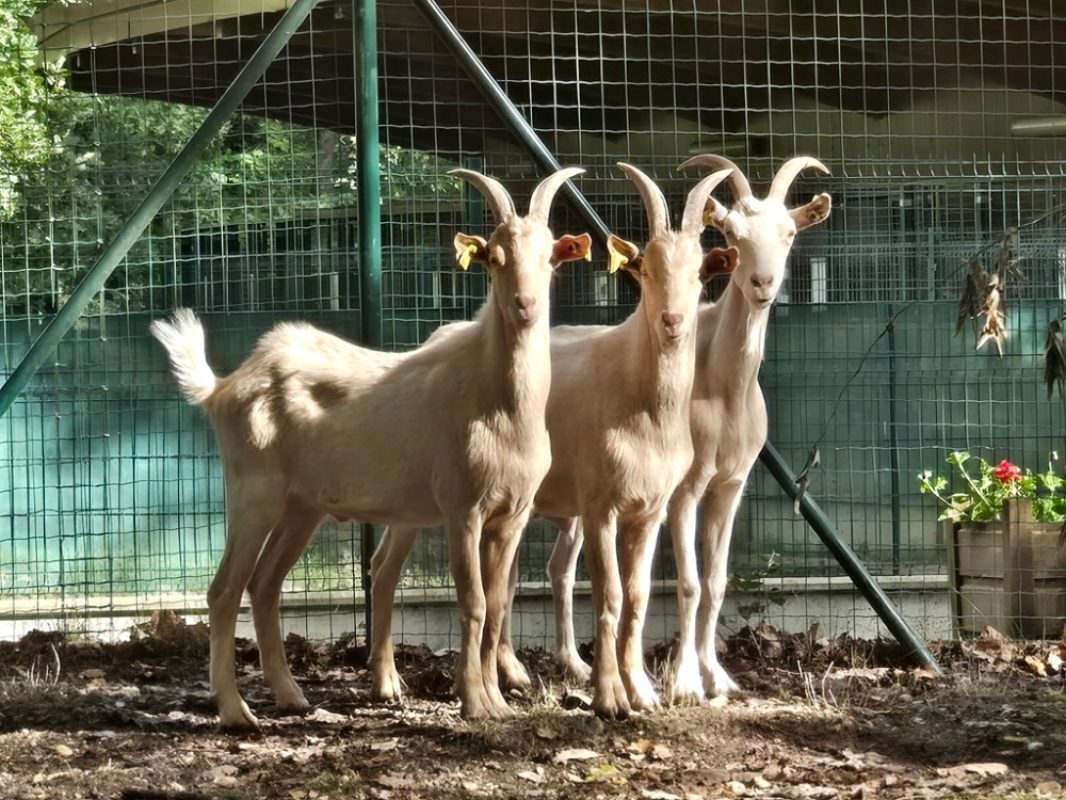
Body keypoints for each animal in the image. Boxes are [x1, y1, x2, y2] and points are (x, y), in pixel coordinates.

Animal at [150, 167, 591, 729]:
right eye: (494, 257)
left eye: (550, 258)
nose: (525, 306)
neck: (496, 403)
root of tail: (223, 387)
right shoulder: (461, 508)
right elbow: (472, 602)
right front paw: (474, 701)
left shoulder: (511, 515)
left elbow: (496, 605)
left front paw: (497, 701)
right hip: (254, 491)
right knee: (225, 589)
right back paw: (236, 711)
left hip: (302, 506)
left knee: (265, 584)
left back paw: (292, 695)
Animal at [369, 163, 736, 719]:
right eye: (645, 270)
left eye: (699, 273)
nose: (672, 321)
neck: (639, 400)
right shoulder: (600, 503)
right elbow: (608, 594)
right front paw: (610, 697)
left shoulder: (649, 509)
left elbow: (638, 595)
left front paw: (642, 692)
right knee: (385, 567)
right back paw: (388, 682)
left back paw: (511, 674)